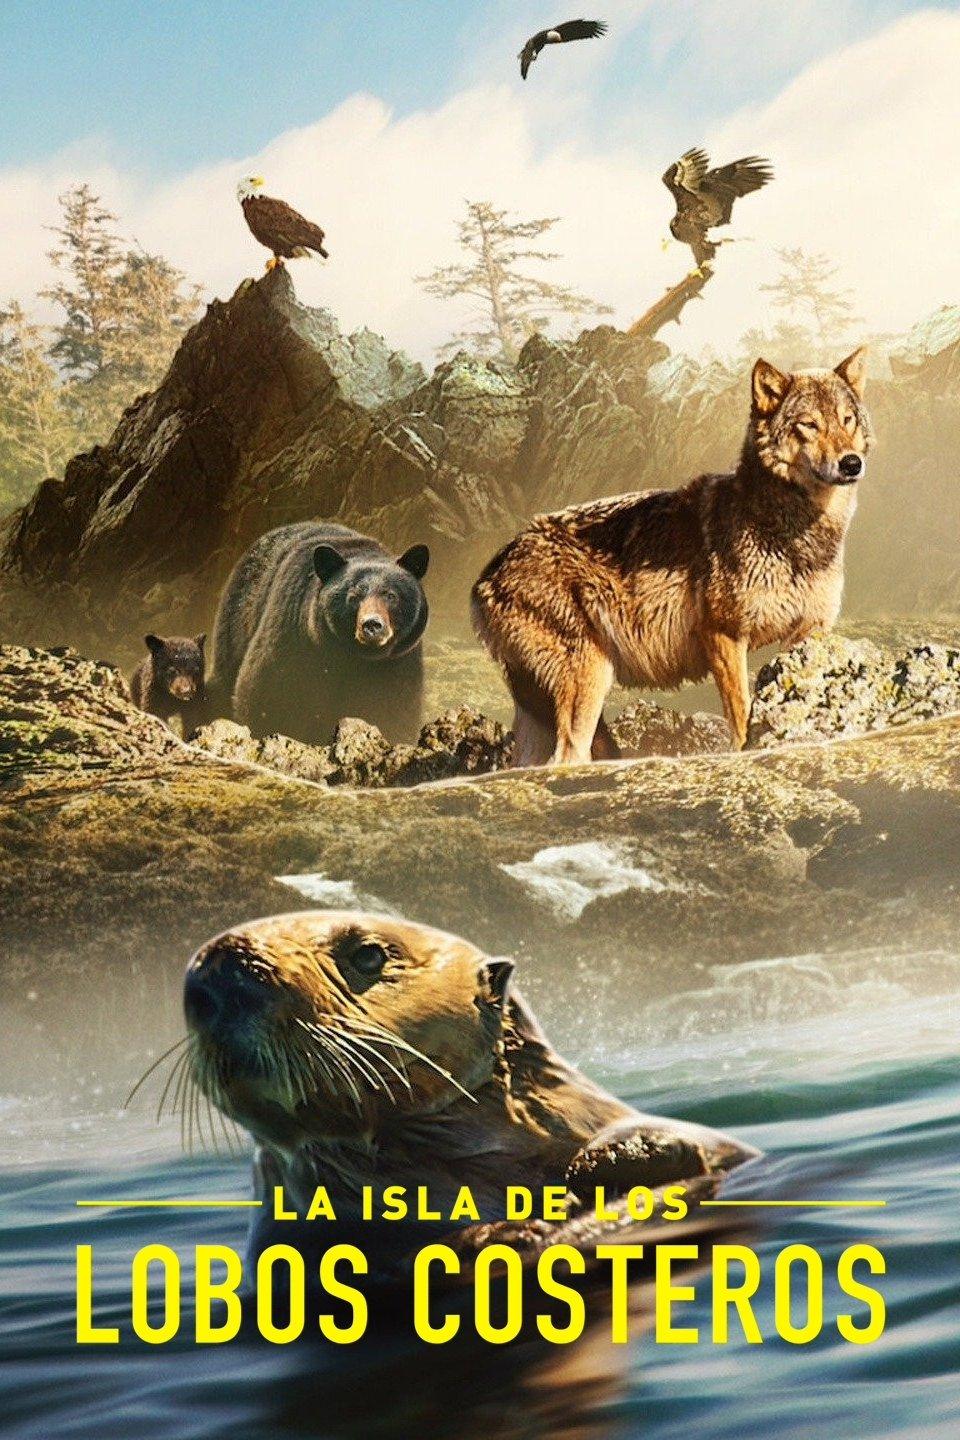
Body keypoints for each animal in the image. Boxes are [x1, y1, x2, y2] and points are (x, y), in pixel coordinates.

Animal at [472, 349, 871, 765]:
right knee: (568, 756)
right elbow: (741, 715)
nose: (851, 463)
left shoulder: (806, 636)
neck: (793, 532)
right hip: (589, 681)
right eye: (809, 424)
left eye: (847, 419)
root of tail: (486, 574)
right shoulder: (724, 635)